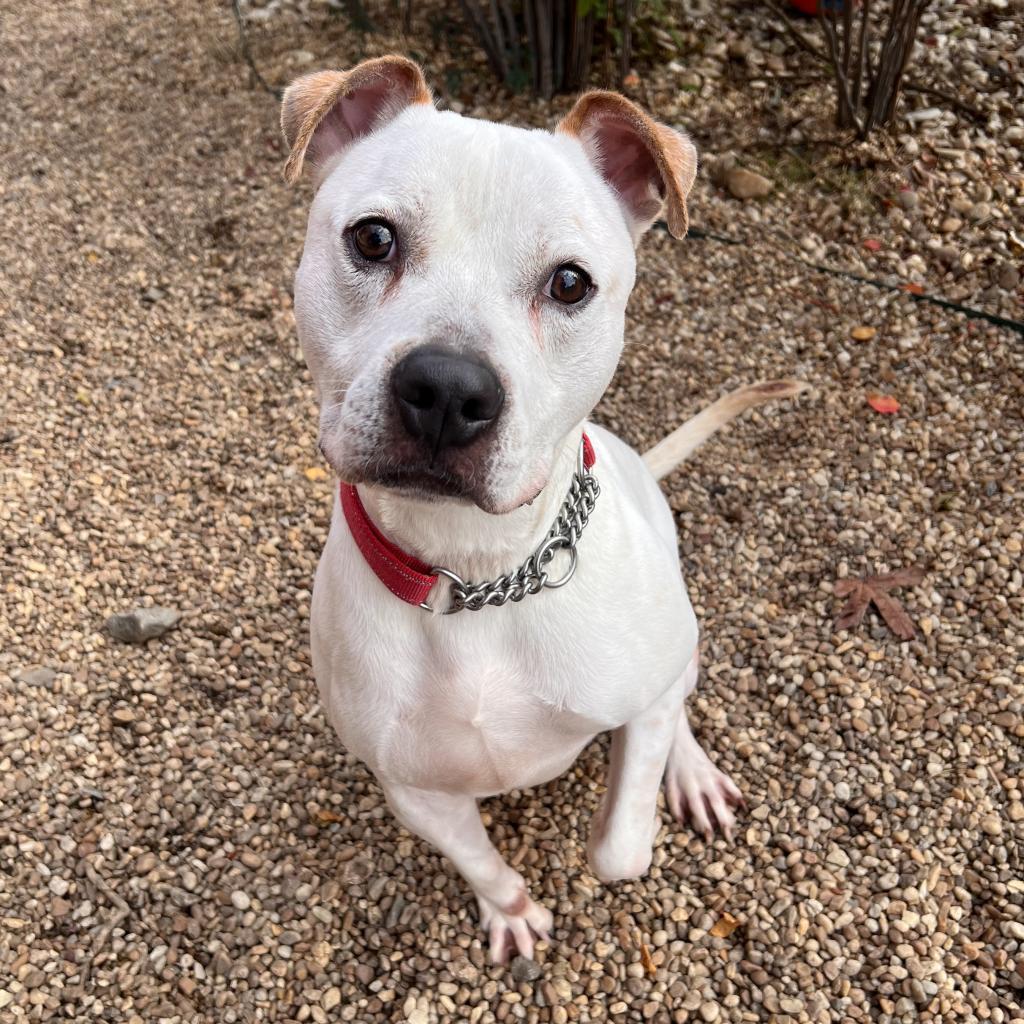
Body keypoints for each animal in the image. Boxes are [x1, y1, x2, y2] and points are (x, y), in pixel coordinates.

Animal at [284, 56, 802, 962]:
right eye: (373, 239)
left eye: (570, 283)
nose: (447, 390)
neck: (476, 576)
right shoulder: (410, 787)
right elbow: (480, 859)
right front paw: (513, 911)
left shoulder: (645, 694)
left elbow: (620, 849)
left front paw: (630, 816)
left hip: (683, 636)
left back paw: (691, 772)